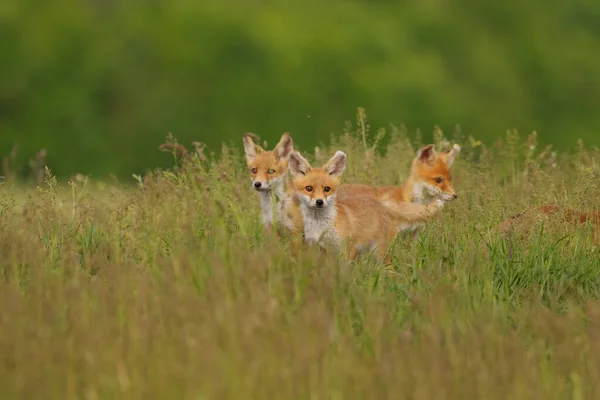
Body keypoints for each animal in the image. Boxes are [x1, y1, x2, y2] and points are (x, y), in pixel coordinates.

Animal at [288, 148, 442, 264]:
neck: (321, 226)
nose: (319, 202)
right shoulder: (322, 249)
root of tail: (381, 203)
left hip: (379, 253)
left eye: (327, 189)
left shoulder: (347, 249)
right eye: (309, 188)